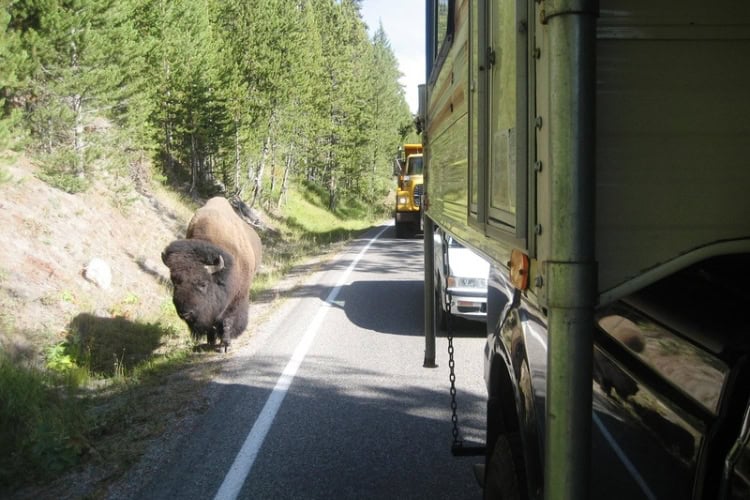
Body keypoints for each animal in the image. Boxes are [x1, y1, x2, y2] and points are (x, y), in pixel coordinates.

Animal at [162, 197, 262, 352]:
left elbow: (227, 321)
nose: (185, 313)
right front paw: (211, 341)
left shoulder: (236, 299)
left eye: (203, 284)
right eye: (174, 281)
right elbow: (212, 324)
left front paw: (225, 345)